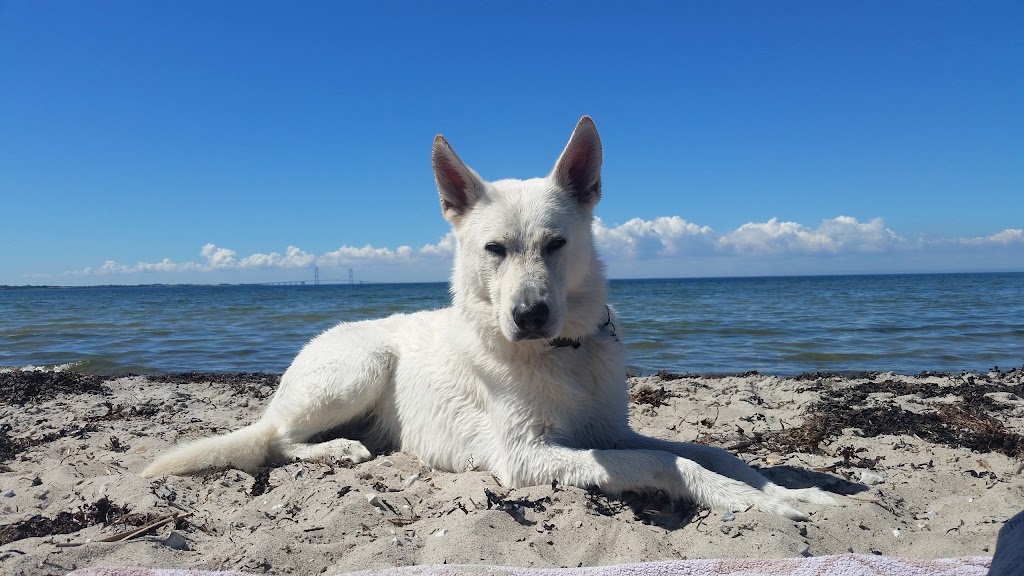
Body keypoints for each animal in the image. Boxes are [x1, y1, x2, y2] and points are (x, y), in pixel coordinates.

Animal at [142, 116, 835, 520]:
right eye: (495, 249)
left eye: (555, 245)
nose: (529, 315)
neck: (564, 352)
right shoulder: (526, 456)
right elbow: (673, 465)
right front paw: (756, 503)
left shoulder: (611, 431)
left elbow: (707, 451)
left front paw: (789, 492)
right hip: (362, 365)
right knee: (277, 440)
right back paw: (337, 449)